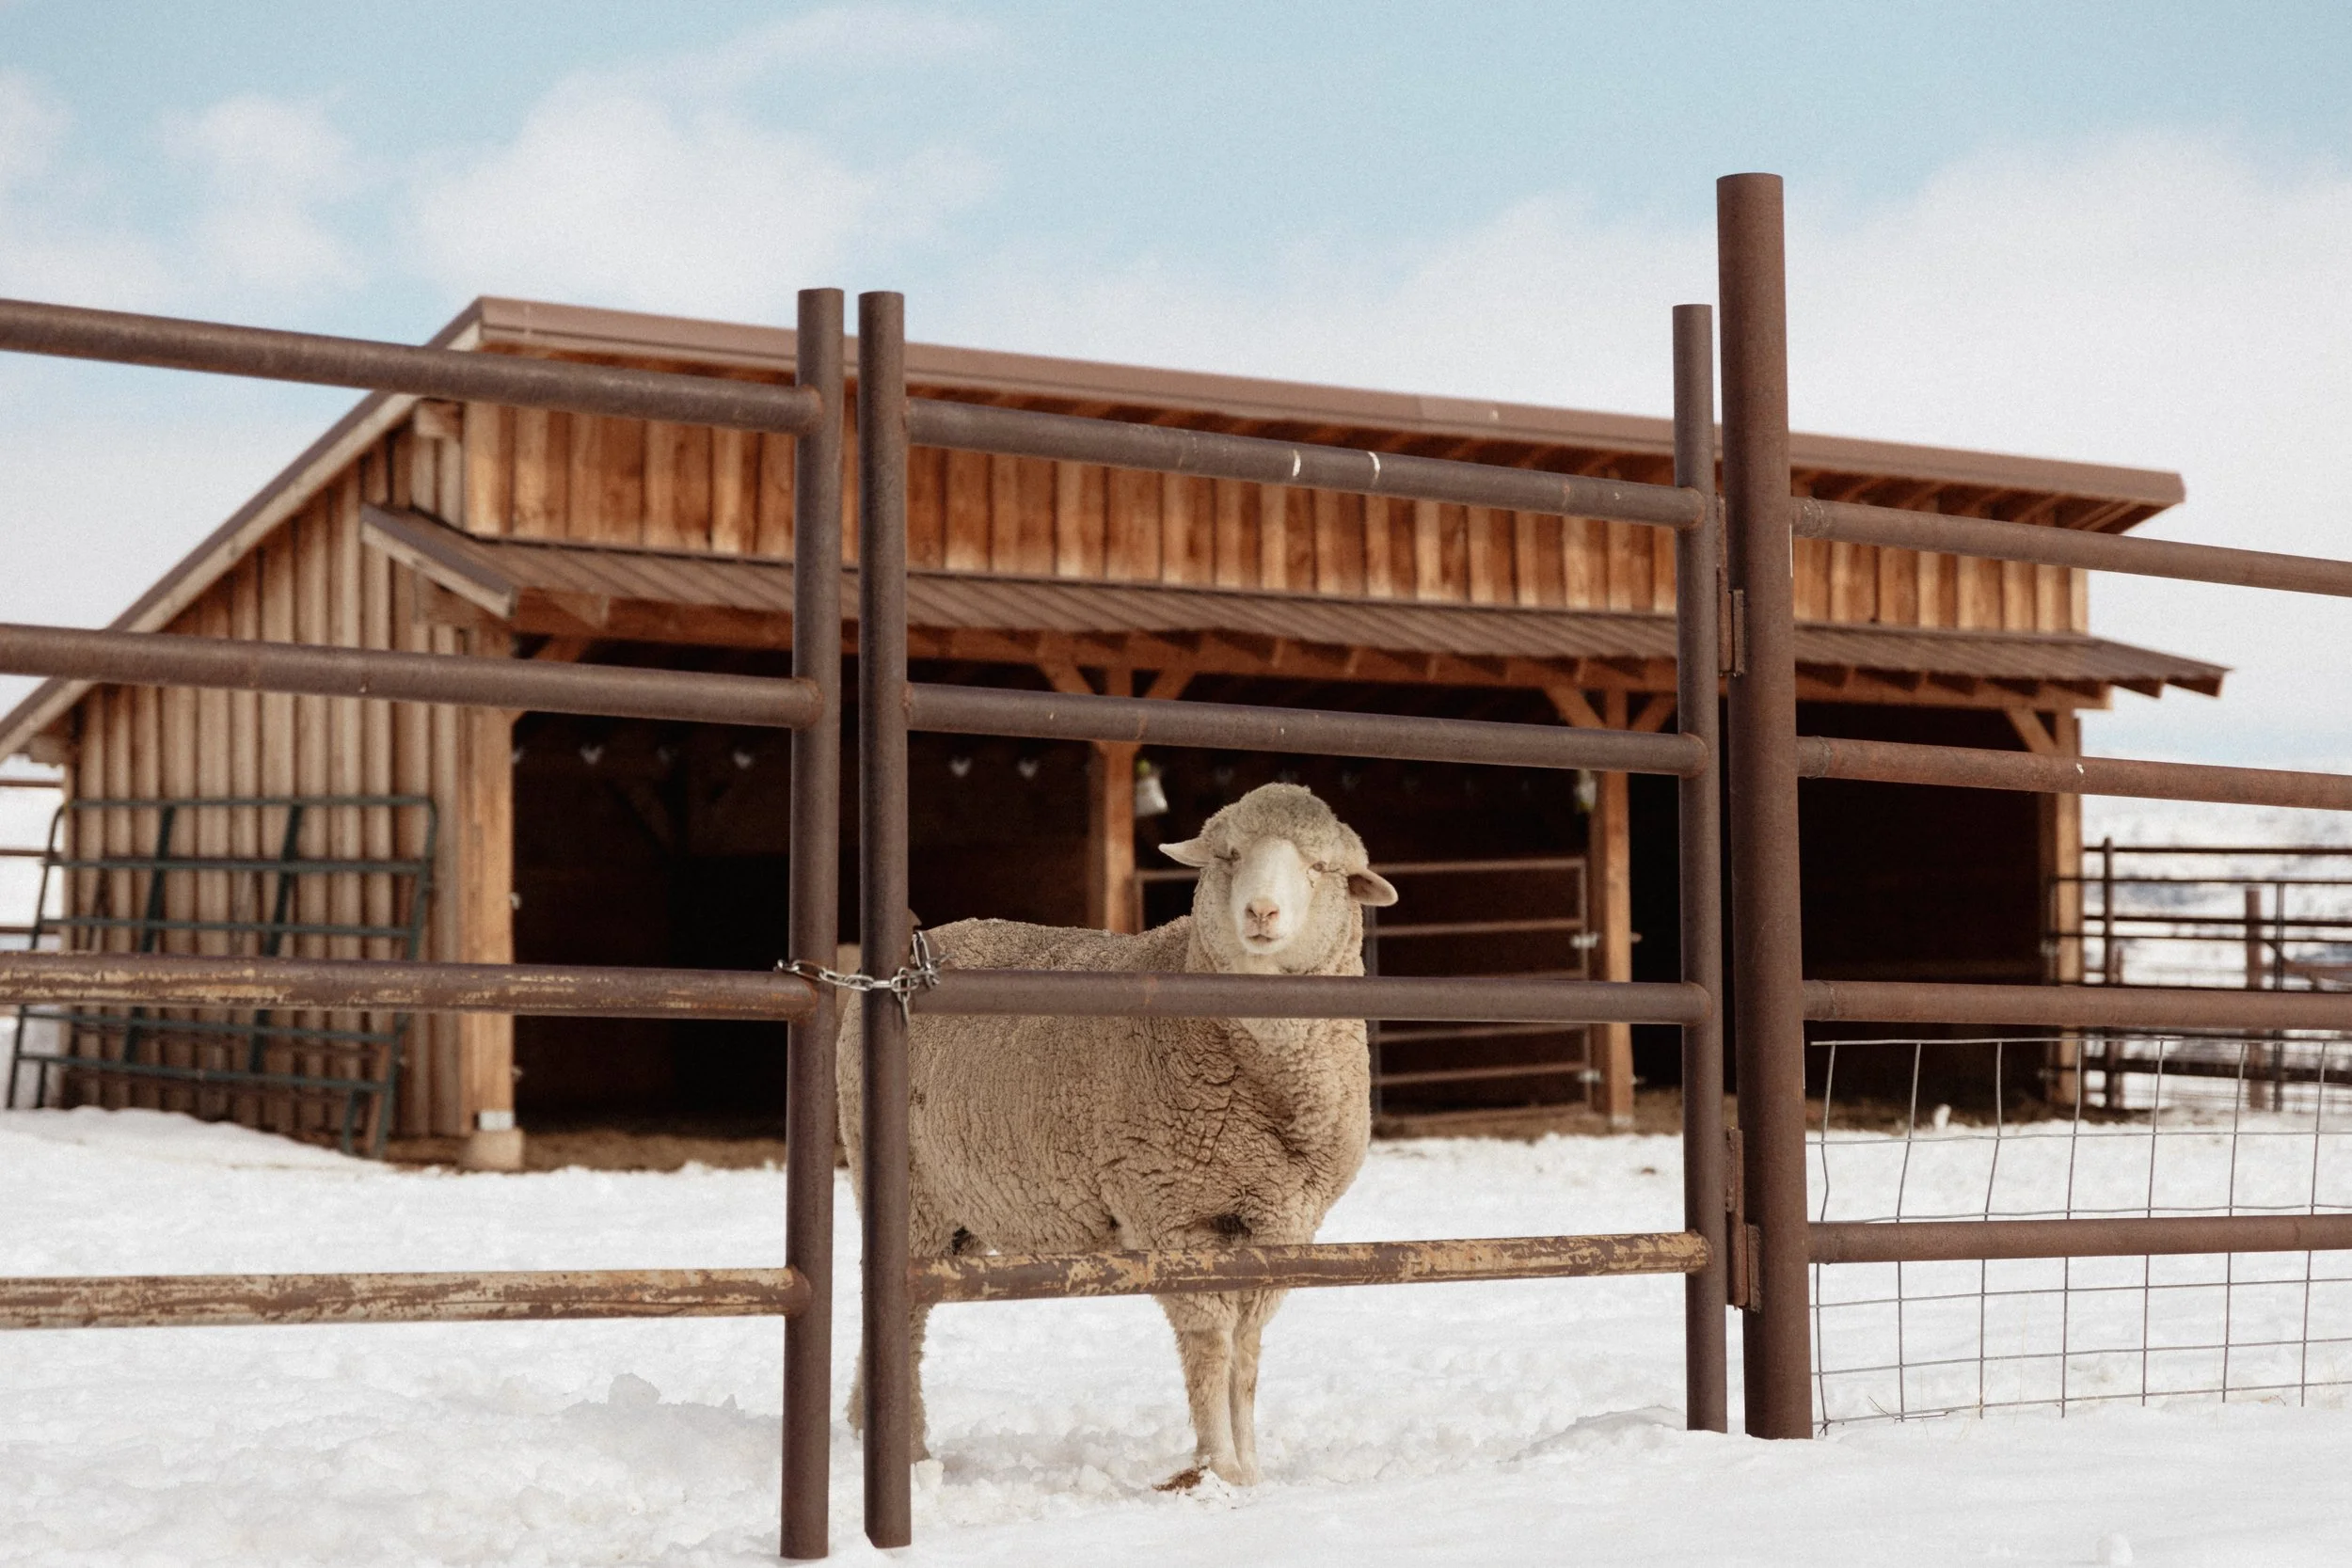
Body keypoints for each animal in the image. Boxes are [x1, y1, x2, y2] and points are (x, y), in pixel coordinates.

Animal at [837, 781, 1399, 1487]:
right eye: (1230, 856)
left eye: (1320, 867)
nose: (1261, 911)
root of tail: (915, 946)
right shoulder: (1172, 1212)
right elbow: (1211, 1341)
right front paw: (1217, 1465)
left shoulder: (1285, 1222)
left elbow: (1247, 1349)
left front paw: (1250, 1466)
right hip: (906, 1188)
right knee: (905, 1317)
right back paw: (907, 1451)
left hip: (958, 1205)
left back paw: (868, 1426)